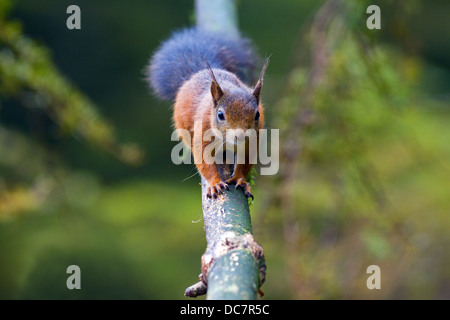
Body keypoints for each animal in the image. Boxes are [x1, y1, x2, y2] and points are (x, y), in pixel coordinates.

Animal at [147, 27, 268, 199]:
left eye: (257, 115)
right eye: (220, 115)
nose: (240, 136)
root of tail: (197, 73)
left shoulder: (252, 140)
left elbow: (245, 163)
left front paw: (241, 179)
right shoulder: (202, 131)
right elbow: (204, 161)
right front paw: (214, 183)